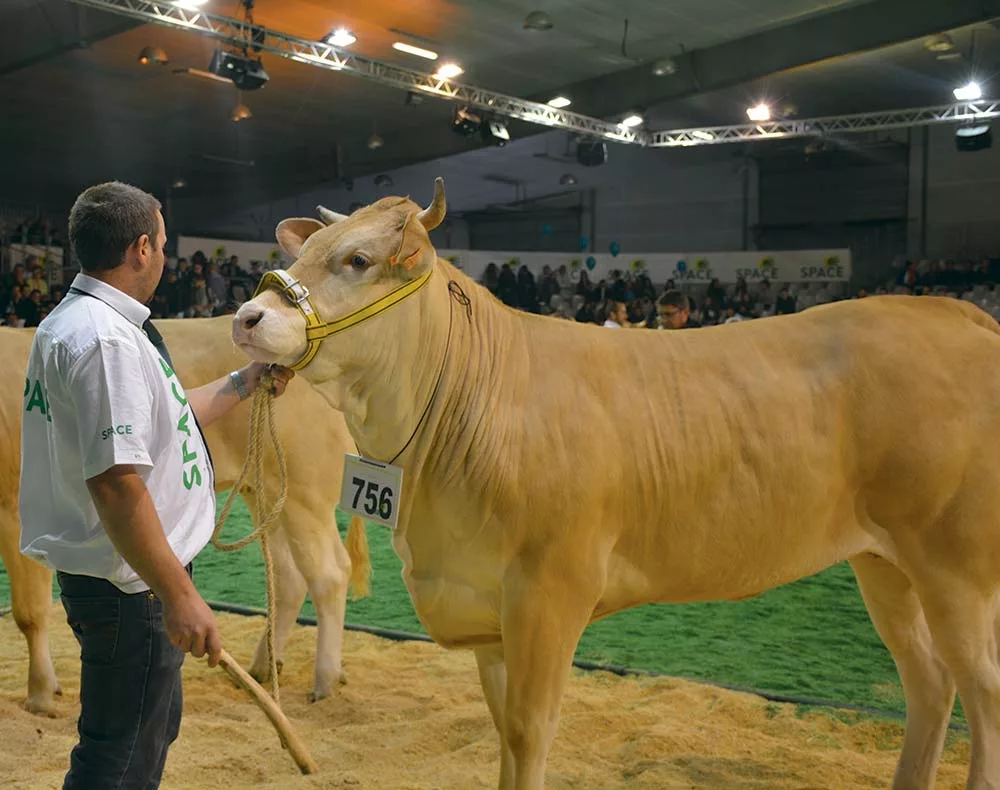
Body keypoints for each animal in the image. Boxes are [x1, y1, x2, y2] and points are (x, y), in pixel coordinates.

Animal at [230, 179, 1000, 790]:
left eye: (357, 261)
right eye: (303, 251)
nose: (246, 317)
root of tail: (951, 311)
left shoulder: (552, 589)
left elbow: (529, 730)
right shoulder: (483, 600)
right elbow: (500, 728)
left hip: (956, 563)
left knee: (983, 691)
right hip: (883, 561)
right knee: (930, 682)